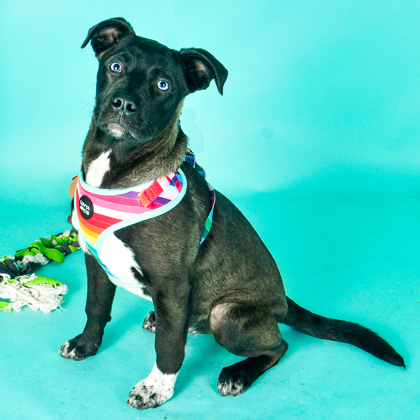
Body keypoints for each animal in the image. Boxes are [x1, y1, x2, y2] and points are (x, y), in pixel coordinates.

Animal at [59, 17, 405, 410]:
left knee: (279, 345)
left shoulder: (171, 283)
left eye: (163, 85)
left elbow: (169, 346)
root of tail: (281, 301)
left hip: (227, 315)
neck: (118, 173)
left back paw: (238, 373)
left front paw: (157, 387)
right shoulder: (94, 261)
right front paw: (86, 345)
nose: (124, 104)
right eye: (115, 66)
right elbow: (96, 308)